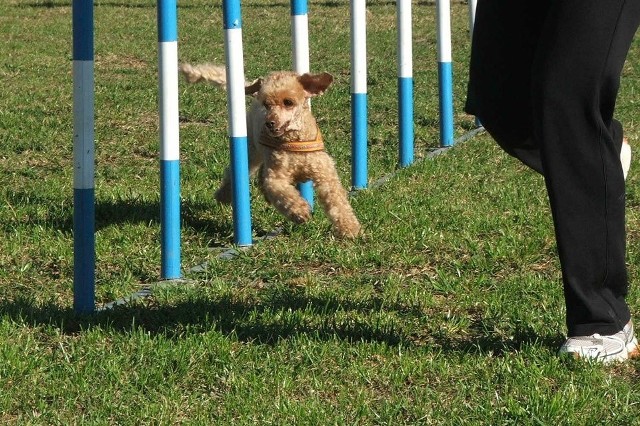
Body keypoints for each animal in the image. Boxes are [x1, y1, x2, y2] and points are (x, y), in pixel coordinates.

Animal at [180, 65, 362, 241]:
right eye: (266, 104)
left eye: (288, 102)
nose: (269, 123)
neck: (293, 141)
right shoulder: (276, 176)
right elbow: (282, 192)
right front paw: (300, 211)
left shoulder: (324, 172)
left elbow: (337, 201)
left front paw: (350, 229)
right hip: (251, 149)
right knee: (237, 172)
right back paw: (223, 195)